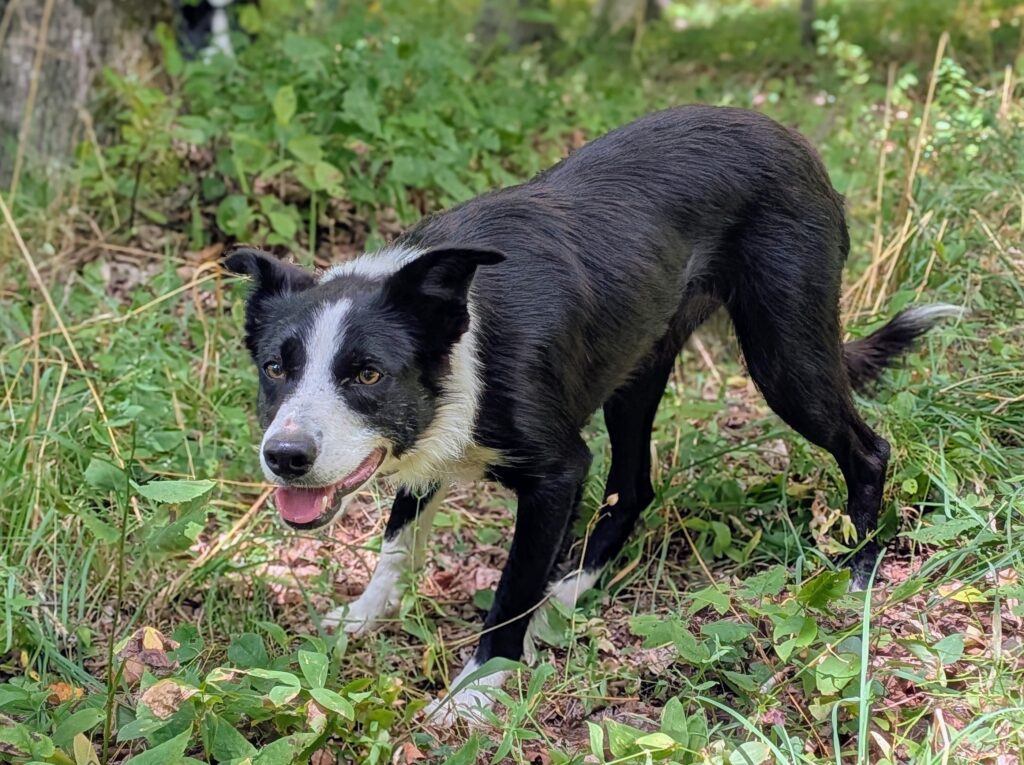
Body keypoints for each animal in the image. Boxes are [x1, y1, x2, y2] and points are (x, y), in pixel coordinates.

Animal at [225, 105, 958, 724]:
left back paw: (857, 576)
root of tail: (789, 135)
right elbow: (398, 543)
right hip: (637, 372)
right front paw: (364, 617)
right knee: (635, 487)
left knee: (867, 449)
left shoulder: (557, 472)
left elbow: (511, 589)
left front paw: (472, 696)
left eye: (368, 374)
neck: (464, 334)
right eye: (275, 368)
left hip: (786, 358)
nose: (284, 458)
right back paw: (570, 592)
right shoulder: (430, 439)